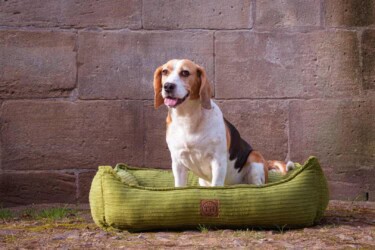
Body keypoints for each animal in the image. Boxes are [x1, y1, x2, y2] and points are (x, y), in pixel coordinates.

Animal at [153, 59, 294, 187]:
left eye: (185, 73)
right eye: (165, 71)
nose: (168, 86)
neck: (186, 118)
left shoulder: (218, 161)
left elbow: (216, 186)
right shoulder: (178, 163)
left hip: (254, 159)